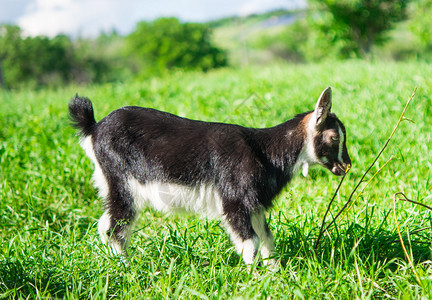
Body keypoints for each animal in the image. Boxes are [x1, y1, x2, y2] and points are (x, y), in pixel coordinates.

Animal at [68, 86, 352, 264]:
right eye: (334, 137)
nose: (346, 166)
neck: (264, 150)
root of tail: (93, 127)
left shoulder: (255, 203)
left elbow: (267, 238)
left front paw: (275, 275)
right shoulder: (235, 200)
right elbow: (250, 243)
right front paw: (256, 281)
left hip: (111, 183)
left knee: (106, 223)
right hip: (121, 180)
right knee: (116, 226)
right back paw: (126, 269)